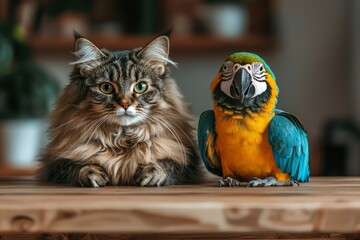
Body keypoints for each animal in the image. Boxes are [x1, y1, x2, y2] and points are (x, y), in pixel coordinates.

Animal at [39, 31, 204, 187]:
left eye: (140, 87)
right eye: (106, 88)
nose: (125, 104)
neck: (123, 141)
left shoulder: (189, 164)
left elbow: (166, 164)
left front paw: (151, 172)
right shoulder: (54, 164)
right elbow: (78, 166)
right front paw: (92, 173)